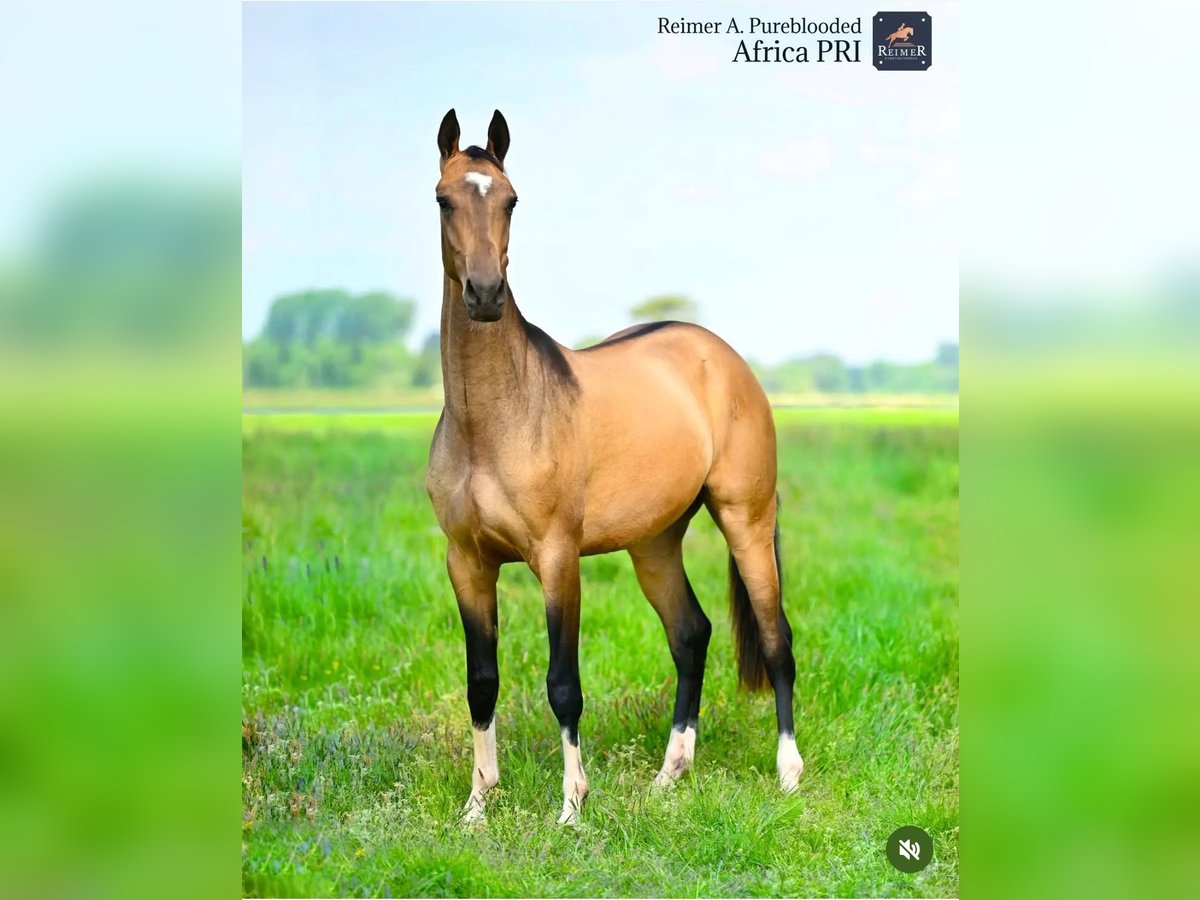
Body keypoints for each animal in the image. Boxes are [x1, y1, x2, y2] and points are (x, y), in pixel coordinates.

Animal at [427, 109, 801, 830]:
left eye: (511, 200)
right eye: (443, 199)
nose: (484, 294)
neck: (495, 420)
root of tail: (721, 356)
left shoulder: (556, 558)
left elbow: (562, 685)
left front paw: (572, 806)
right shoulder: (467, 562)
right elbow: (481, 682)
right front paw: (477, 805)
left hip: (745, 520)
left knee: (776, 639)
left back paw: (789, 772)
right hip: (654, 542)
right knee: (691, 635)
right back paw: (670, 773)